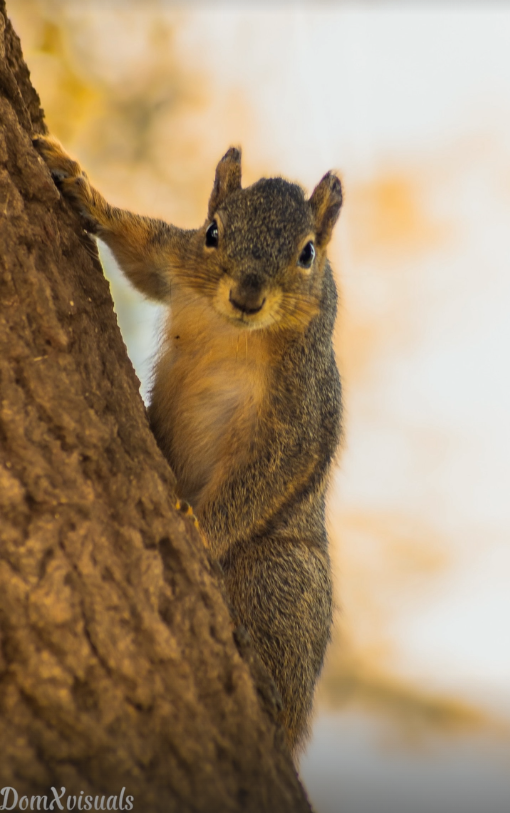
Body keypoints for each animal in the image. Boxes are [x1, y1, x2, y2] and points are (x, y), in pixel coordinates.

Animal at [33, 135, 343, 755]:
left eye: (307, 254)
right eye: (213, 232)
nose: (247, 295)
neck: (237, 329)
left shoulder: (302, 404)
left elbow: (269, 472)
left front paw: (199, 528)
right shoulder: (175, 263)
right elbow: (141, 253)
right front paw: (76, 181)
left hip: (280, 576)